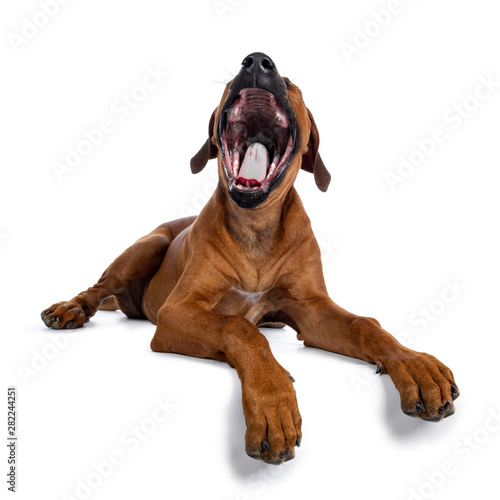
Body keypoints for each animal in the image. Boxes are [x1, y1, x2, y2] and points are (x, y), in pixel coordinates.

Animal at [41, 51, 458, 464]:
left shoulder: (312, 308)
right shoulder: (177, 311)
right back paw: (70, 309)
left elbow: (365, 324)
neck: (256, 227)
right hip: (150, 245)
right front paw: (273, 400)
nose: (257, 61)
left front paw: (413, 363)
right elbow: (238, 327)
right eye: (234, 78)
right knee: (98, 287)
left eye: (290, 84)